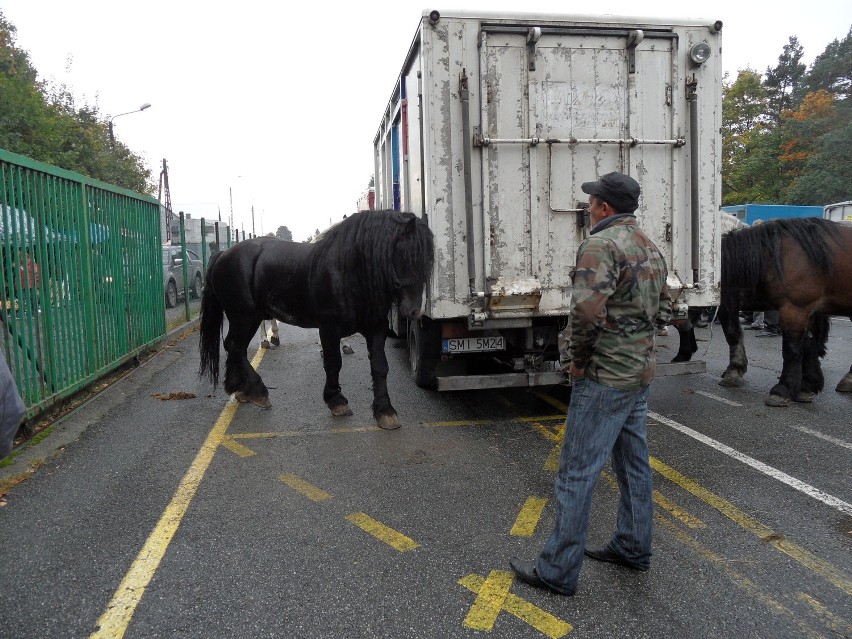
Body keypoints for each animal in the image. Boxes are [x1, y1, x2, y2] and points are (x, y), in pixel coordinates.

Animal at [198, 211, 432, 430]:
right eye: (402, 254)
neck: (348, 272)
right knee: (234, 346)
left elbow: (380, 366)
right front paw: (336, 401)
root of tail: (223, 254)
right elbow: (333, 363)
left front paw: (385, 410)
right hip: (244, 317)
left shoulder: (376, 328)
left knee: (236, 347)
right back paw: (257, 391)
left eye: (428, 259)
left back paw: (240, 389)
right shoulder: (329, 328)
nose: (414, 310)